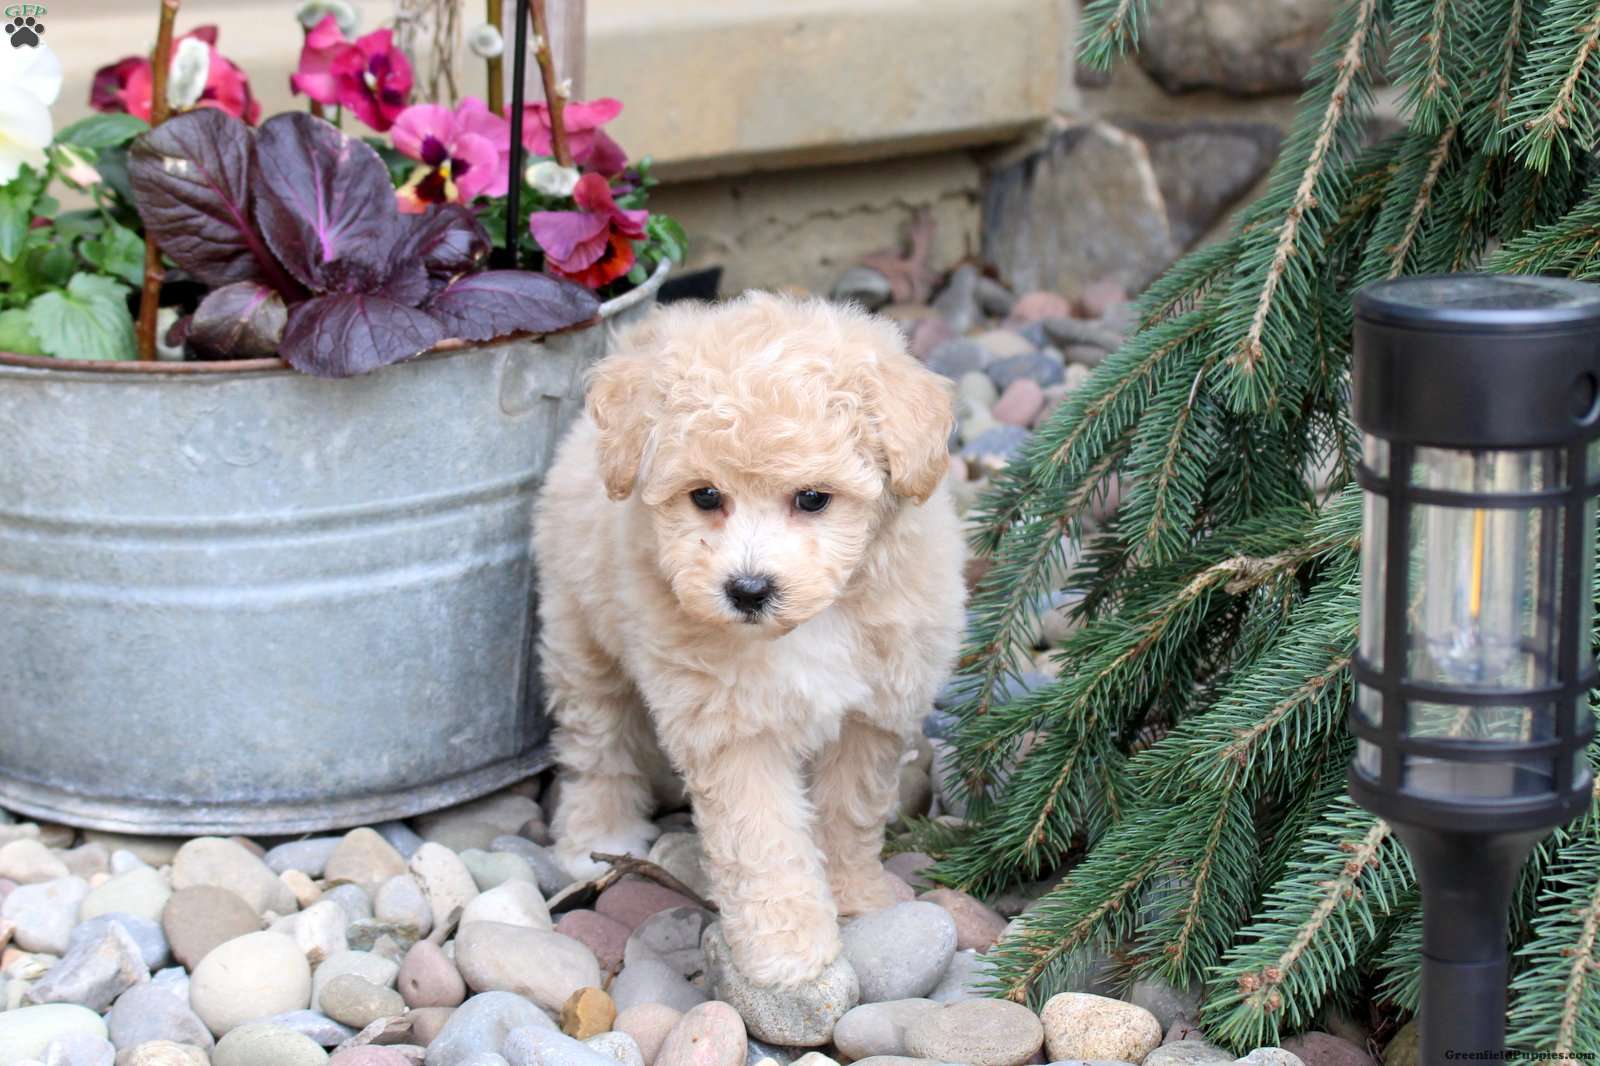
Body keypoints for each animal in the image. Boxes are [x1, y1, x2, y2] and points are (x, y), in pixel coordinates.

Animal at [533, 292, 966, 985]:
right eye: (706, 495)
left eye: (813, 498)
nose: (748, 588)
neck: (815, 623)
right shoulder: (732, 729)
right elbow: (763, 837)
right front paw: (787, 947)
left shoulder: (873, 714)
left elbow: (849, 813)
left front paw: (854, 896)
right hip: (580, 630)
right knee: (597, 742)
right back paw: (598, 834)